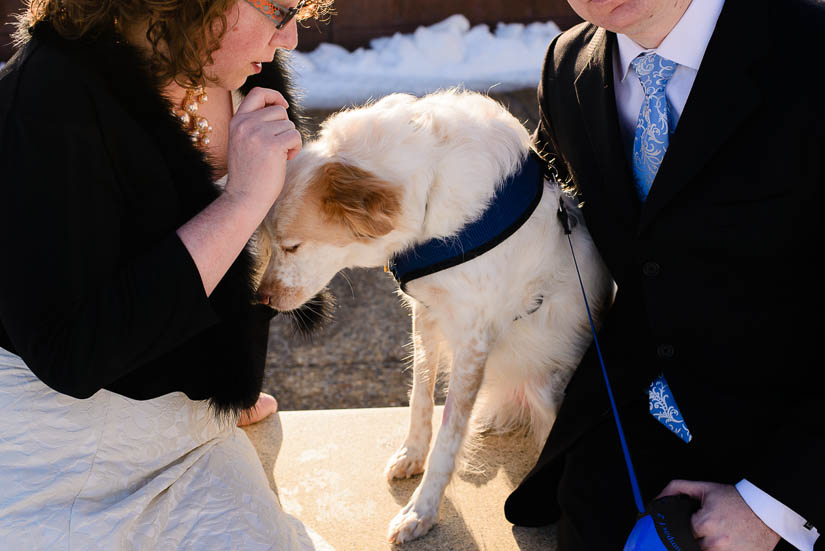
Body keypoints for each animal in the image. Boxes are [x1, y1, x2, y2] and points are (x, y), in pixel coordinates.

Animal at [258, 89, 612, 544]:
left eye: (292, 246)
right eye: (270, 242)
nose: (262, 299)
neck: (434, 187)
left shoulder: (473, 339)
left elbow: (449, 436)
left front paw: (421, 512)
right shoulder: (426, 313)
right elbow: (421, 398)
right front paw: (412, 455)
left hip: (549, 389)